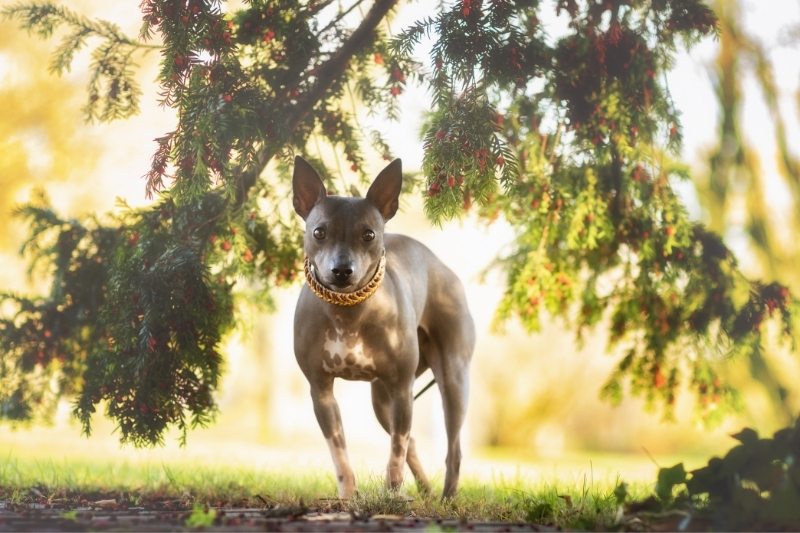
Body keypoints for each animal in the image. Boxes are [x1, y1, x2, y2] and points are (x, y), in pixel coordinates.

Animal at [292, 156, 476, 496]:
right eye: (319, 232)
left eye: (368, 235)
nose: (342, 270)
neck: (347, 313)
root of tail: (443, 266)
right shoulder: (321, 392)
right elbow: (340, 455)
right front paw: (348, 497)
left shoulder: (402, 390)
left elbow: (396, 451)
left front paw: (392, 492)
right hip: (381, 400)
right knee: (413, 443)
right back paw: (426, 492)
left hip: (453, 381)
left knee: (451, 450)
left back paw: (446, 498)